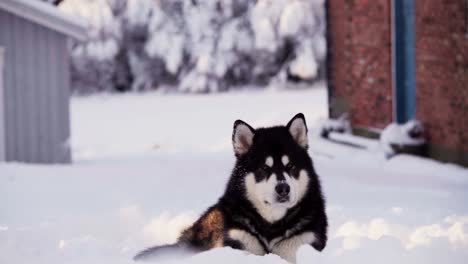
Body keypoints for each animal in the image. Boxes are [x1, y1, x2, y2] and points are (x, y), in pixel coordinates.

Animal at [133, 113, 328, 262]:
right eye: (264, 168)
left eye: (291, 166)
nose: (283, 189)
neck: (271, 226)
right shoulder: (237, 239)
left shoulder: (301, 242)